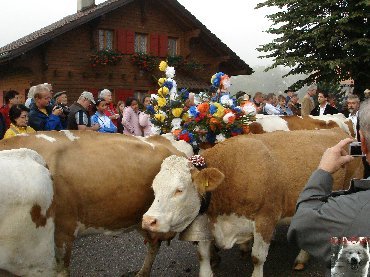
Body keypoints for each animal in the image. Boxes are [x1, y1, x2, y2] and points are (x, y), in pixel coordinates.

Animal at [143, 128, 362, 274]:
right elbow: (203, 255)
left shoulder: (266, 218)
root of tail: (338, 130)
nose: (148, 220)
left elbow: (257, 257)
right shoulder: (207, 221)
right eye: (154, 188)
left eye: (179, 190)